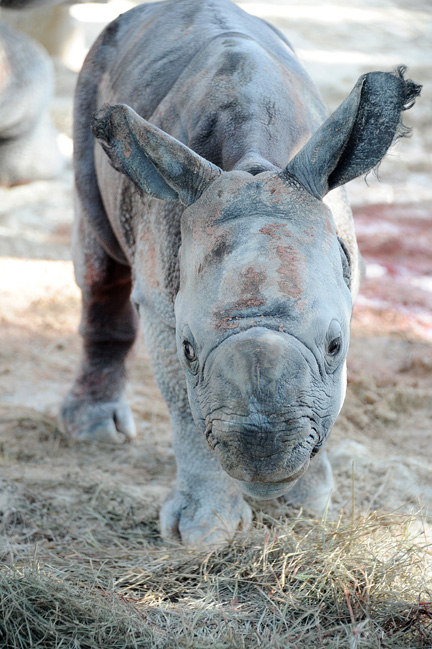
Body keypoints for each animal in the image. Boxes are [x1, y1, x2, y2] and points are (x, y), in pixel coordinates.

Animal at [60, 0, 421, 545]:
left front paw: (308, 505)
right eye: (189, 350)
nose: (263, 454)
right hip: (93, 74)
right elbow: (184, 405)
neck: (255, 167)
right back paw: (94, 431)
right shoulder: (164, 305)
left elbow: (331, 396)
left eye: (336, 346)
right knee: (99, 261)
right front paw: (204, 533)